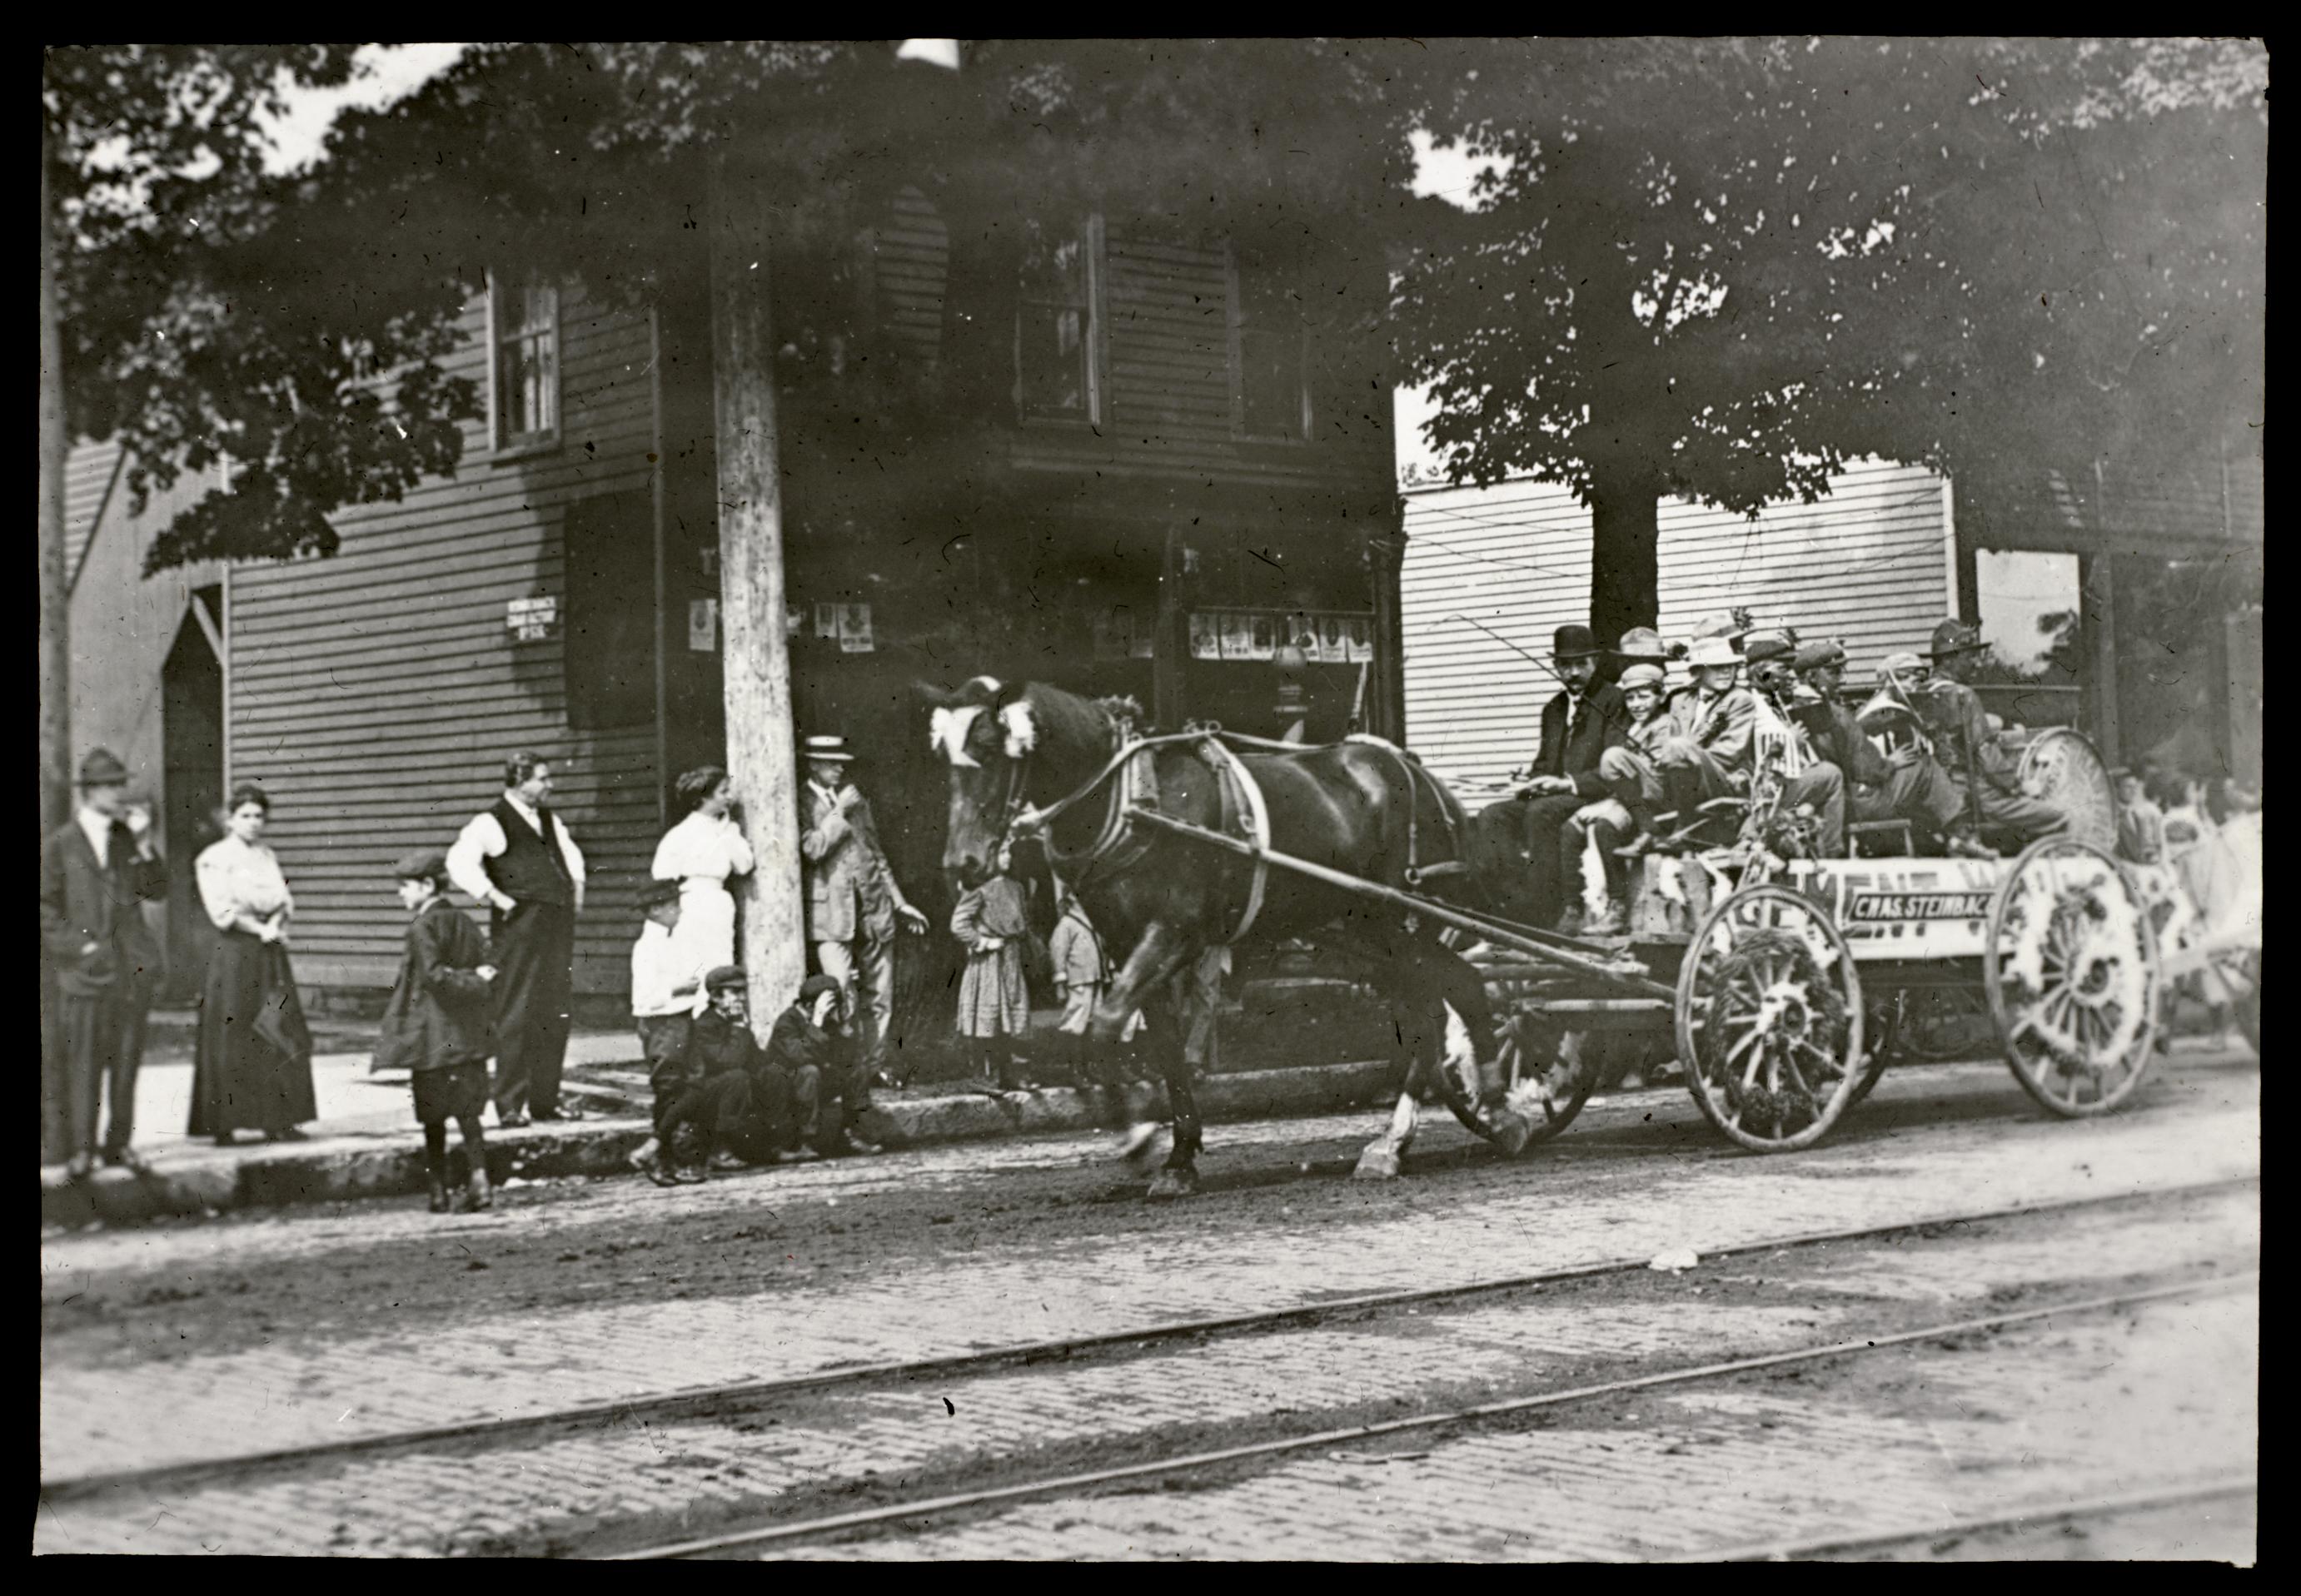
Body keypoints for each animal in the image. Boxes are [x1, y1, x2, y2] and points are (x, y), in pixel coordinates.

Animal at [924, 676, 1536, 1196]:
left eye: (989, 749)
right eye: (944, 759)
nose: (962, 864)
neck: (1135, 799)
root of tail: (1422, 777)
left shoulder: (1173, 932)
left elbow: (1104, 1024)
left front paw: (1139, 1139)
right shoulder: (1127, 943)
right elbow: (1159, 1046)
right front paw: (1178, 1156)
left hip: (1405, 920)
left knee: (1452, 994)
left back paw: (1488, 1111)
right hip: (1366, 935)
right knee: (1435, 1002)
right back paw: (1417, 1132)